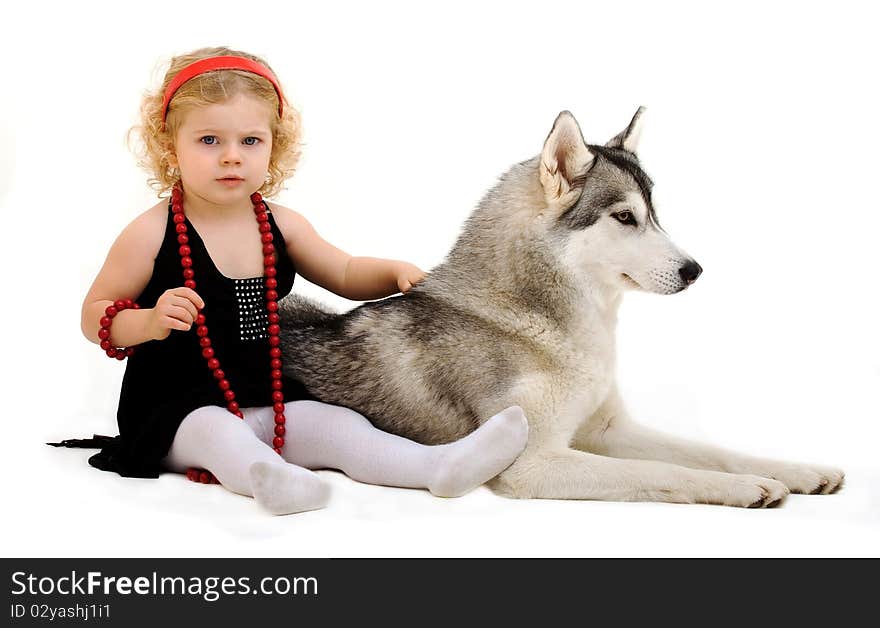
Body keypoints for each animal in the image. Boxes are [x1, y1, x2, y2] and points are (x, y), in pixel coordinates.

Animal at [282, 109, 844, 510]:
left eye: (654, 215)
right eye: (625, 217)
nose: (694, 270)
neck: (550, 326)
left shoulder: (610, 430)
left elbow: (710, 450)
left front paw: (793, 470)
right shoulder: (534, 462)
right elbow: (663, 473)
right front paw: (747, 485)